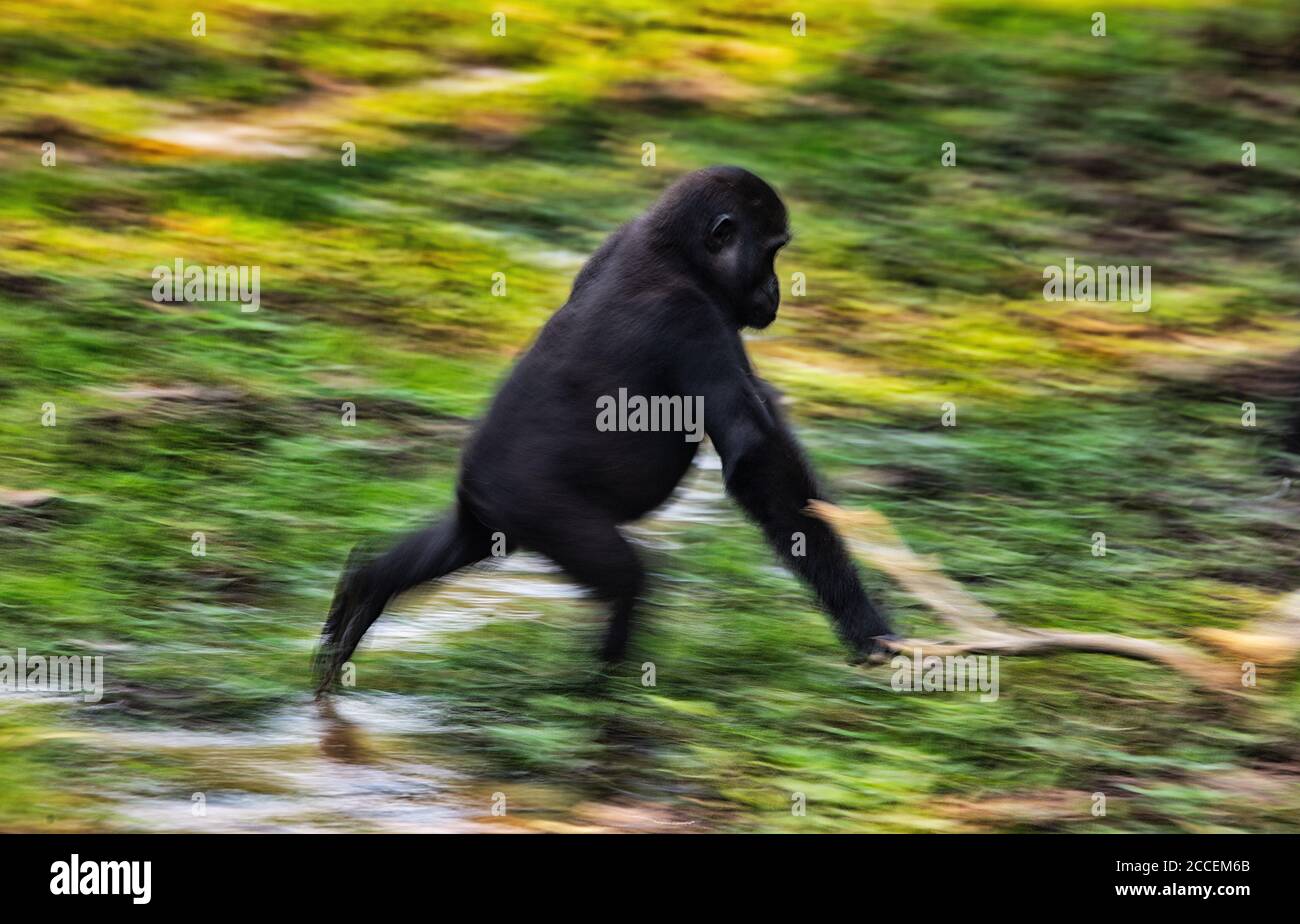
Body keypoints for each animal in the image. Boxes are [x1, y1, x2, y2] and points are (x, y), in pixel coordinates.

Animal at [312, 166, 894, 696]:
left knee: (457, 543)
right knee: (623, 576)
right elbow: (756, 455)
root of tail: (474, 480)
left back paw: (366, 590)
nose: (776, 289)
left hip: (488, 512)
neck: (675, 252)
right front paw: (863, 621)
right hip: (533, 504)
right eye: (771, 253)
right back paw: (600, 690)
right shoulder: (693, 318)